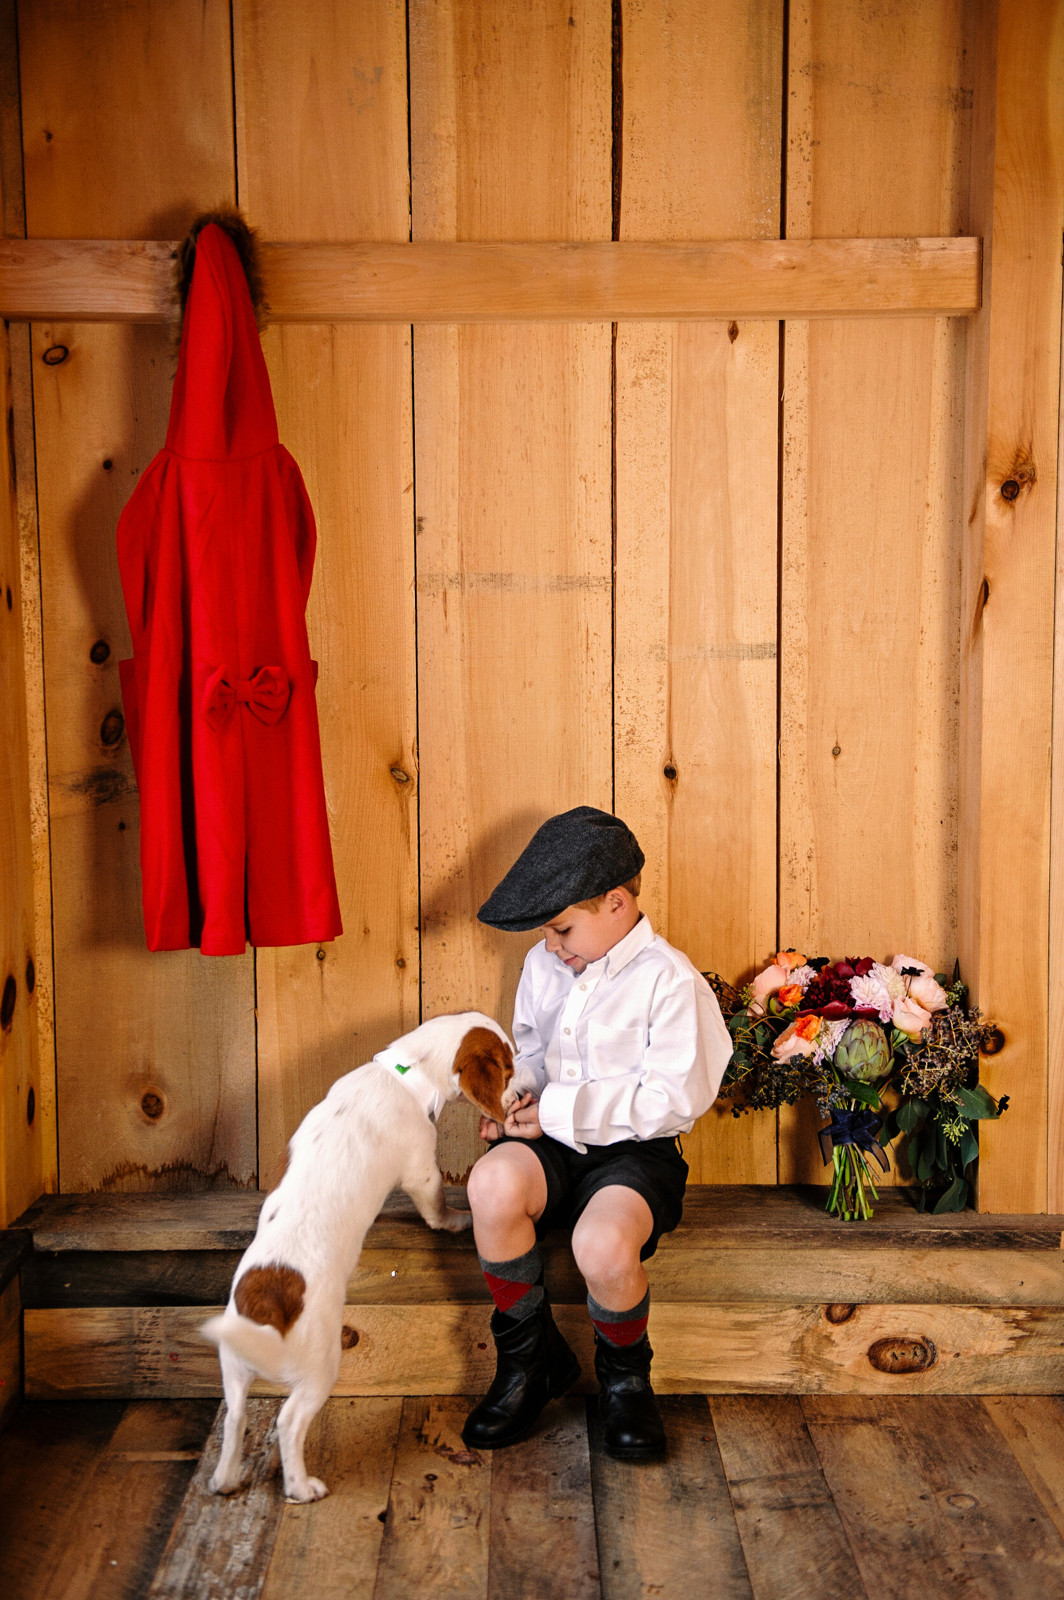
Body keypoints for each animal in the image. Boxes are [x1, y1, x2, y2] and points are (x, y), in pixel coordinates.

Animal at [201, 1011, 515, 1497]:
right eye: (510, 1069)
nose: (521, 1096)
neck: (402, 1073)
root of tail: (266, 1299)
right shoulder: (422, 1171)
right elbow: (437, 1208)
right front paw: (456, 1220)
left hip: (233, 1364)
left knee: (234, 1420)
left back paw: (225, 1480)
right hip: (320, 1366)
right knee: (289, 1422)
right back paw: (301, 1487)